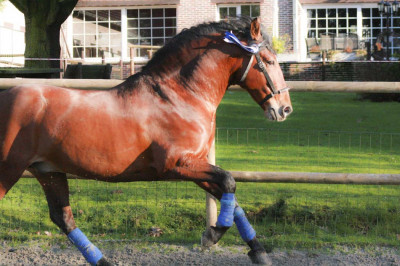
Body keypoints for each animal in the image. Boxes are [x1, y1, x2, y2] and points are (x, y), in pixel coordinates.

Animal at [1, 17, 292, 264]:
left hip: (49, 172)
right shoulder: (177, 164)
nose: (284, 109)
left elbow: (231, 195)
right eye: (269, 60)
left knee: (63, 218)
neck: (180, 96)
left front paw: (258, 252)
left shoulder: (195, 165)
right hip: (10, 170)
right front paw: (211, 236)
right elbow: (230, 182)